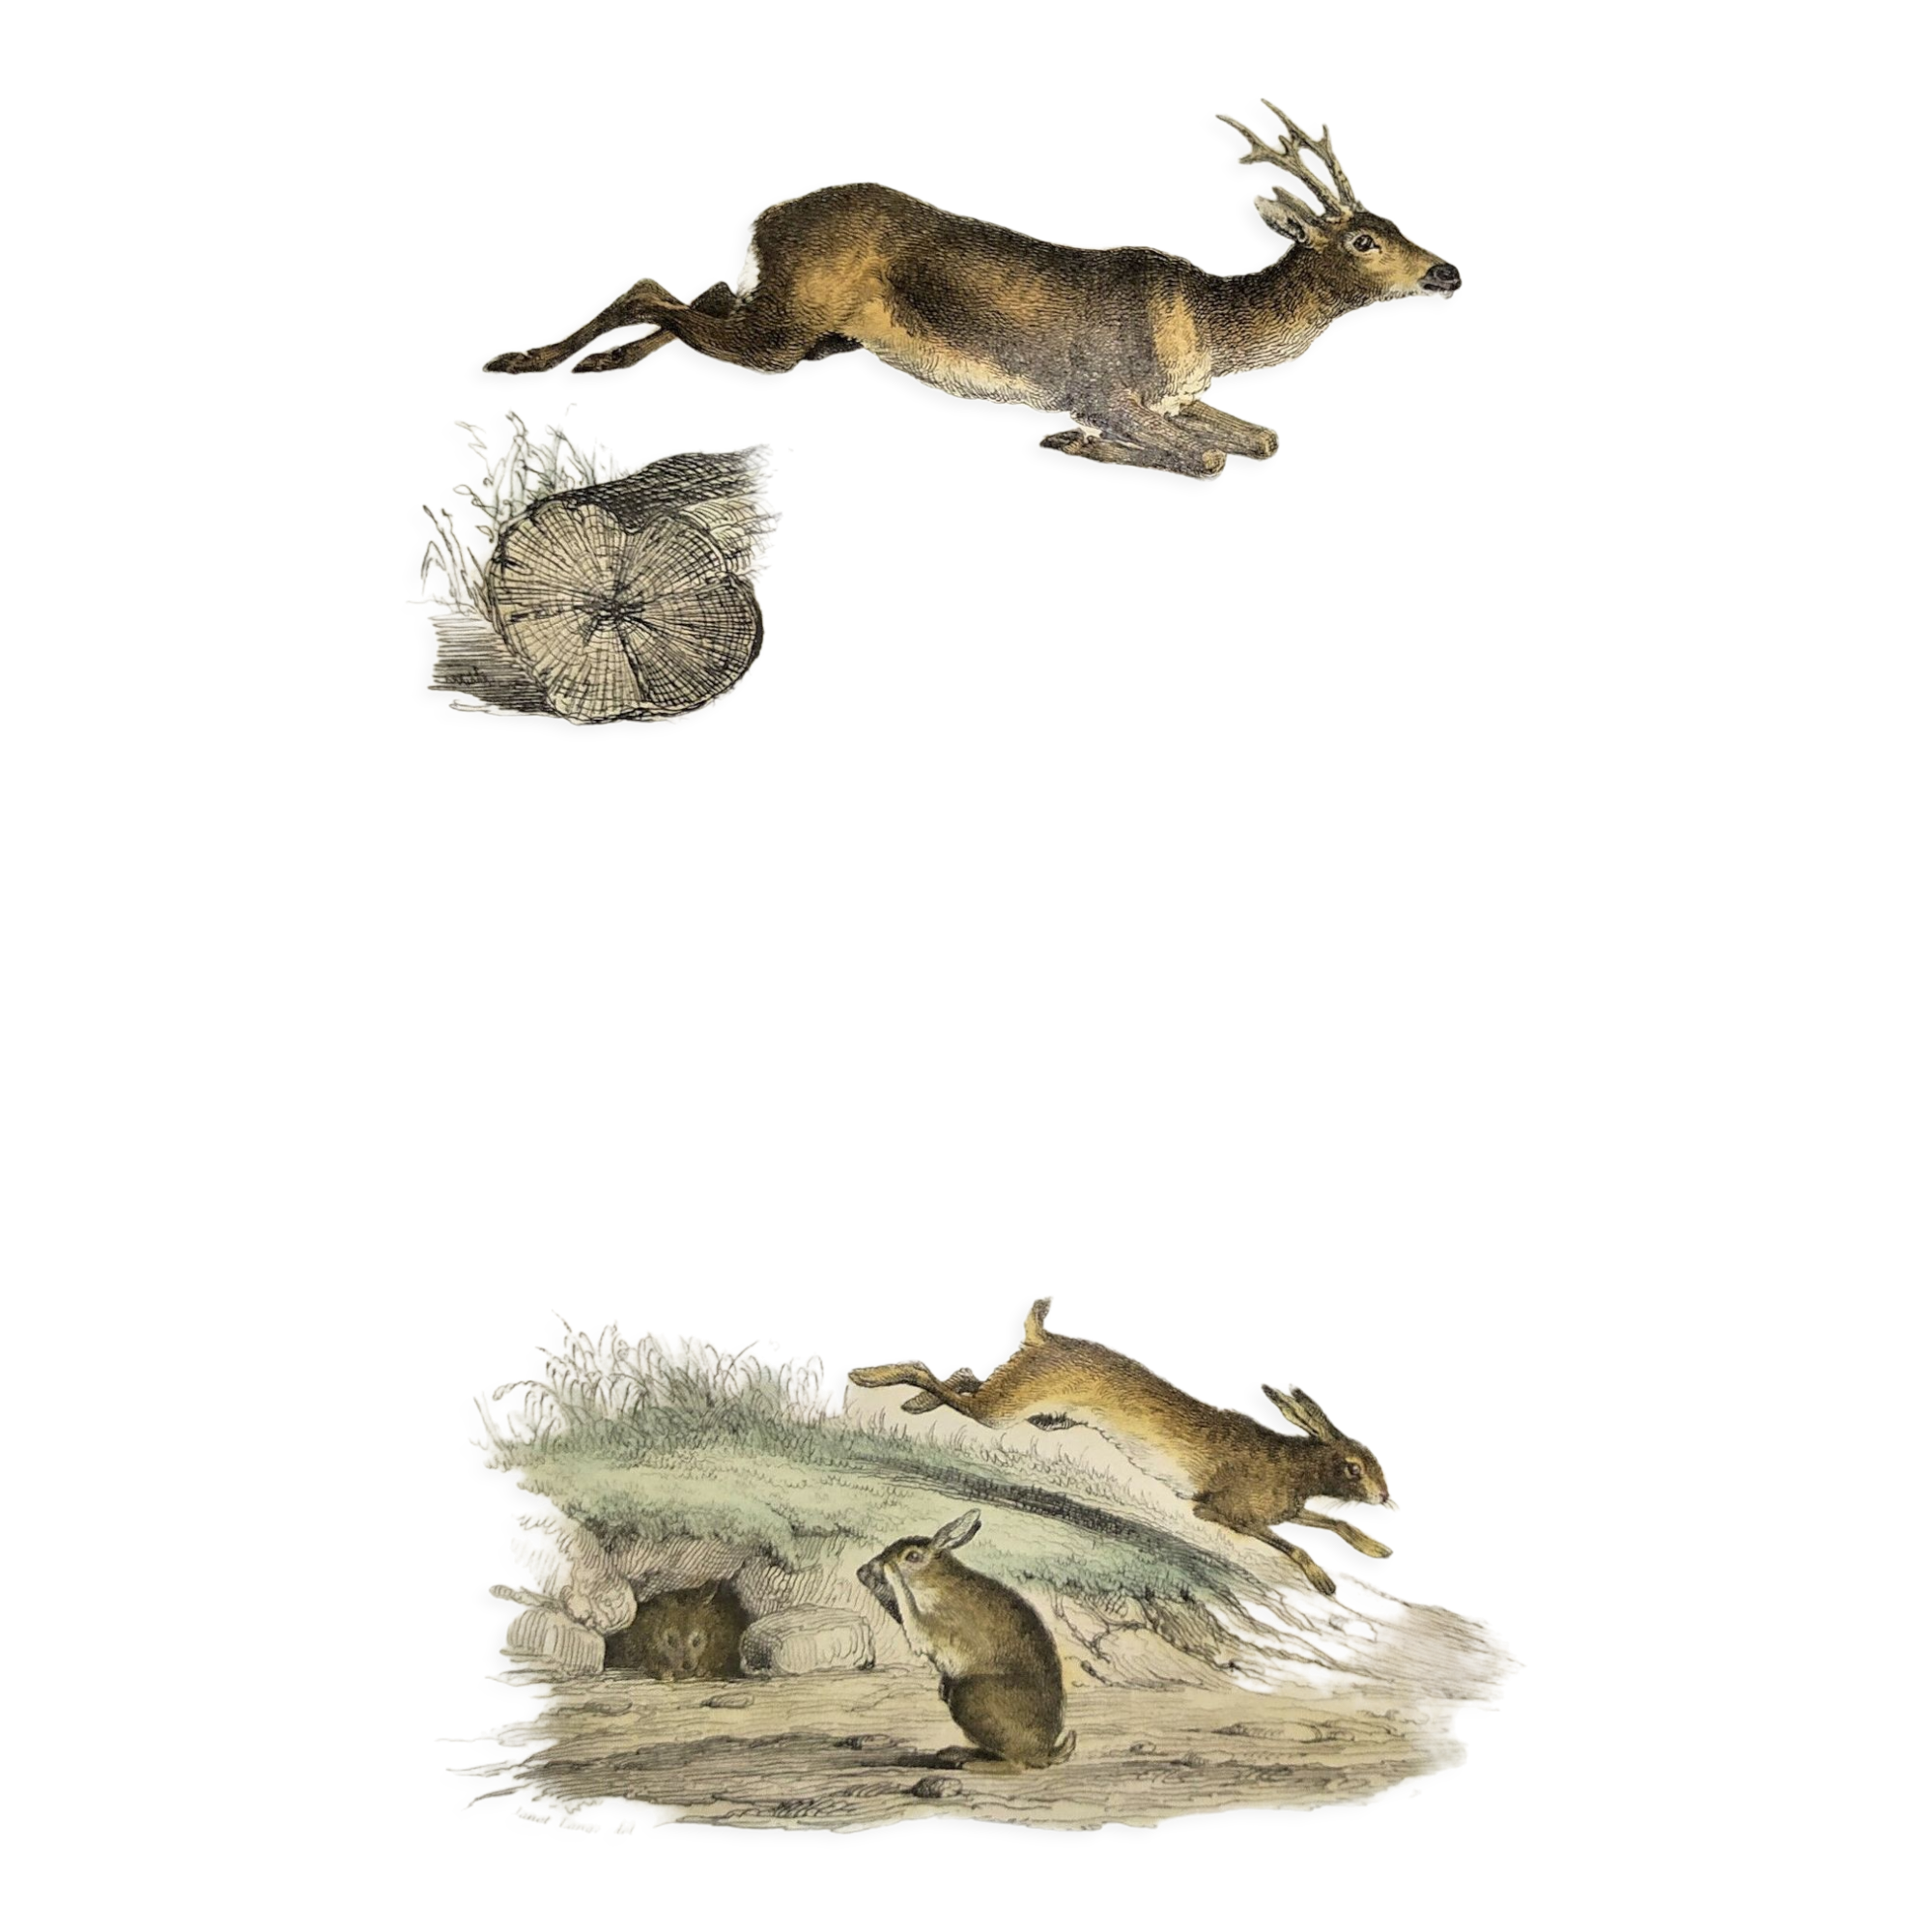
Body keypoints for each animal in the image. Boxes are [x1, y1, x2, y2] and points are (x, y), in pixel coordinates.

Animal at [481, 100, 1460, 483]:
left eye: (1392, 219)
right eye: (1366, 239)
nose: (1449, 270)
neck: (1208, 325)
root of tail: (765, 218)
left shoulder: (1181, 396)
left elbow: (1261, 438)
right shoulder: (1104, 384)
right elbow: (1212, 457)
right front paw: (1070, 443)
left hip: (812, 330)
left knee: (702, 286)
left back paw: (596, 366)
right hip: (785, 335)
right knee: (654, 285)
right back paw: (525, 360)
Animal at [844, 1295, 1399, 1595]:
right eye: (1353, 1467)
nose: (1387, 1500)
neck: (1293, 1463)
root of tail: (1042, 1337)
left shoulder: (1286, 1510)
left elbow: (1330, 1521)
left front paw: (1378, 1549)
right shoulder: (1227, 1514)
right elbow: (1295, 1542)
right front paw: (1324, 1581)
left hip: (1035, 1412)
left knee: (960, 1376)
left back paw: (913, 1404)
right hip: (1005, 1410)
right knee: (934, 1374)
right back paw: (869, 1378)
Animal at [857, 1509, 1075, 1770]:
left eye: (912, 1556)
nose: (863, 1570)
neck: (934, 1579)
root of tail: (1045, 1753)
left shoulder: (930, 1626)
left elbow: (908, 1606)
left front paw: (891, 1572)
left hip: (969, 1696)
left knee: (1016, 1763)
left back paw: (970, 1763)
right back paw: (955, 1753)